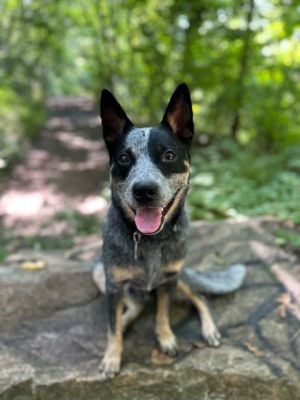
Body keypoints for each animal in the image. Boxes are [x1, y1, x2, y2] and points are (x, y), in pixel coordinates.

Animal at [93, 83, 246, 380]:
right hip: (99, 272)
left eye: (169, 155)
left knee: (199, 297)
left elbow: (163, 312)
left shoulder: (169, 279)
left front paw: (165, 337)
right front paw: (112, 356)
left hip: (181, 275)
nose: (144, 190)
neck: (150, 241)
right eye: (124, 158)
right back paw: (124, 321)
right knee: (131, 307)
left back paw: (209, 330)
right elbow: (111, 326)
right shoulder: (113, 283)